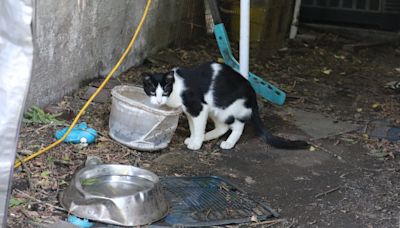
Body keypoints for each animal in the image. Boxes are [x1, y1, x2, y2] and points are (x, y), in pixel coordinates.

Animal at [142, 62, 310, 151]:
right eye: (152, 91)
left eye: (165, 90)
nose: (158, 101)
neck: (176, 87)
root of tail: (251, 91)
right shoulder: (191, 111)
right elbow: (194, 127)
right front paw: (194, 139)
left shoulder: (198, 107)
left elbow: (198, 127)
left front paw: (196, 143)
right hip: (215, 109)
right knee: (222, 127)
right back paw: (208, 137)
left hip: (226, 108)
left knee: (238, 125)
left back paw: (229, 143)